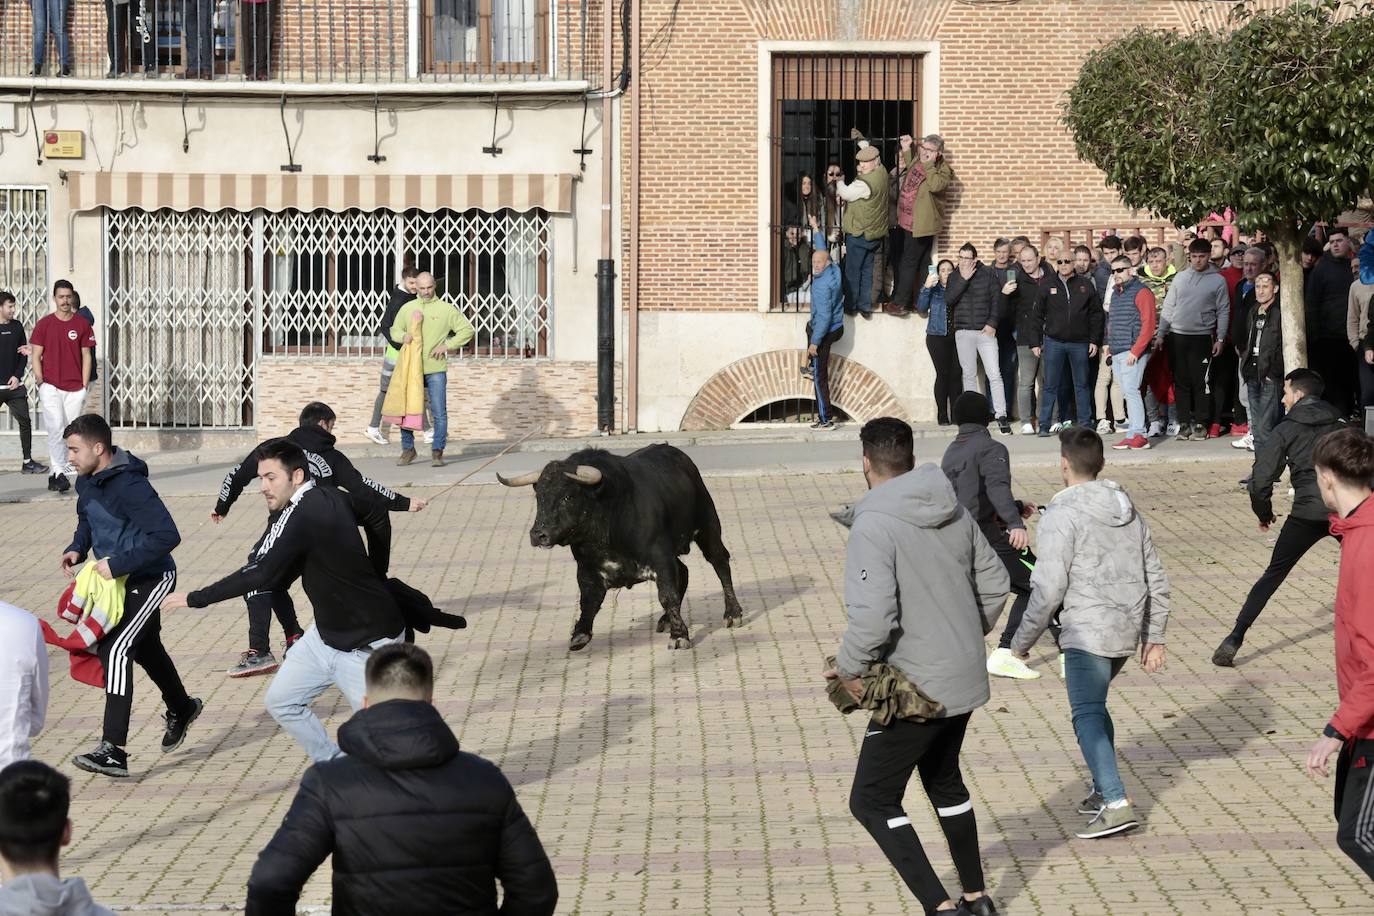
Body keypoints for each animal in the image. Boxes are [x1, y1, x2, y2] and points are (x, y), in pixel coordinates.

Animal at [500, 444, 747, 650]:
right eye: (539, 496)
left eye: (568, 496)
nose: (538, 535)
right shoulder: (587, 569)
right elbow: (588, 600)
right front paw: (580, 634)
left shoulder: (661, 558)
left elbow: (667, 595)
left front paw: (679, 636)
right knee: (684, 571)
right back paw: (666, 619)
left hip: (708, 527)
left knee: (720, 562)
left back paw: (732, 613)